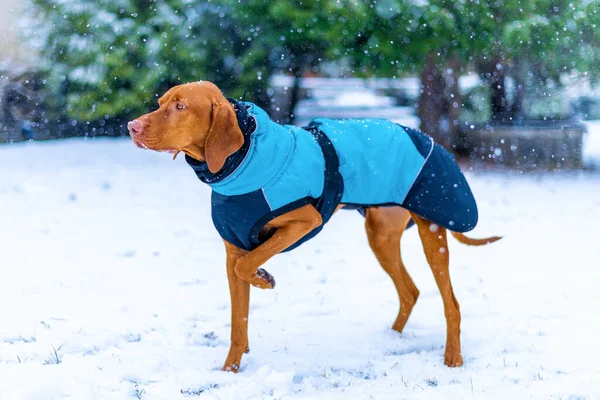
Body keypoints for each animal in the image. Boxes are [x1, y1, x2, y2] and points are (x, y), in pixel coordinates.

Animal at [127, 80, 502, 372]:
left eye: (180, 106)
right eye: (160, 103)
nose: (131, 126)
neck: (245, 157)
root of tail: (429, 139)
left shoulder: (306, 220)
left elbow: (248, 264)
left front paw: (264, 278)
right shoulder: (234, 247)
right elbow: (238, 316)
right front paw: (230, 370)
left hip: (433, 234)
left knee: (451, 304)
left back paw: (453, 358)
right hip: (380, 236)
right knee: (410, 291)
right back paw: (391, 339)